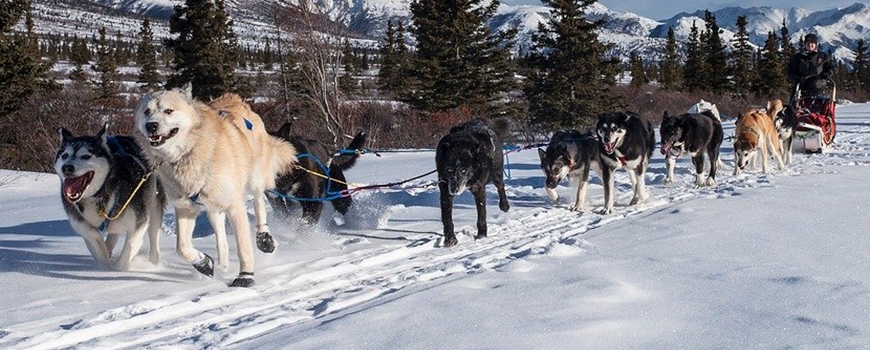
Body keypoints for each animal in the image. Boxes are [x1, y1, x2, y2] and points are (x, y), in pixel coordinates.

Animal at [133, 85, 296, 288]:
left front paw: (245, 276)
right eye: (147, 112)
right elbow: (182, 247)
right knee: (221, 237)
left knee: (259, 202)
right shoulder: (185, 207)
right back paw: (223, 265)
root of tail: (233, 99)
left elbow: (243, 246)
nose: (151, 125)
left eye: (168, 111)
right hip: (213, 207)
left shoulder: (234, 205)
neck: (188, 153)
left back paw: (264, 239)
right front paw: (203, 263)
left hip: (255, 178)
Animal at [436, 117, 510, 246]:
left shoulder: (478, 189)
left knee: (500, 186)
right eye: (449, 170)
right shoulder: (445, 190)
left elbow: (481, 214)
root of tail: (482, 122)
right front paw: (450, 239)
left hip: (496, 173)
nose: (454, 190)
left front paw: (482, 235)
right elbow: (447, 218)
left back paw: (504, 205)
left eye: (464, 170)